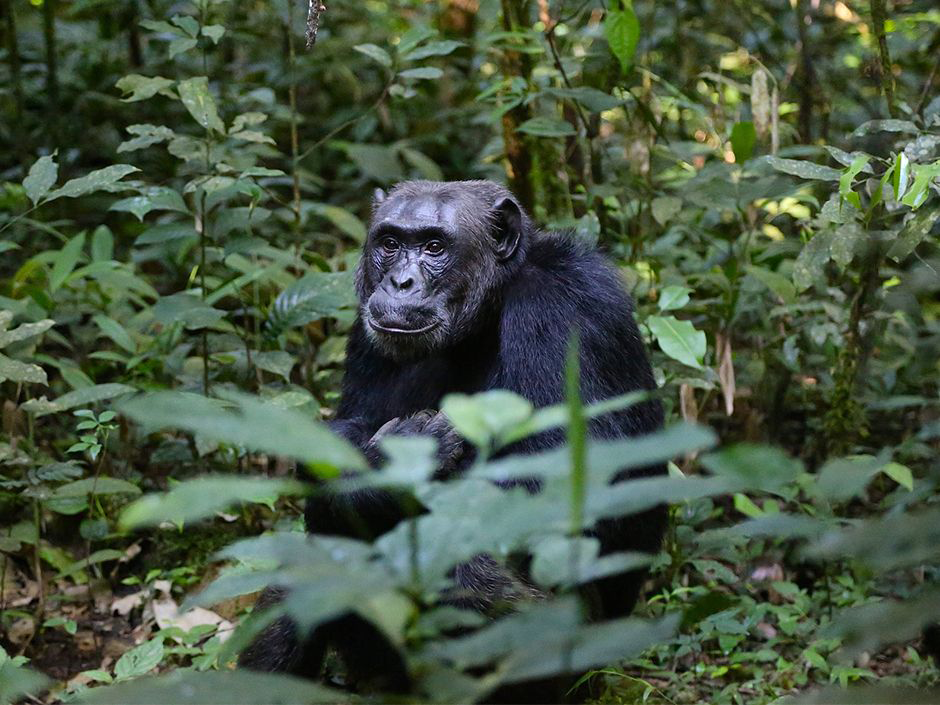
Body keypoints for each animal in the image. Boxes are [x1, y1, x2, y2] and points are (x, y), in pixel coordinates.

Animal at [242, 179, 668, 696]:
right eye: (390, 243)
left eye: (433, 247)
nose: (400, 282)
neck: (485, 314)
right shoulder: (365, 331)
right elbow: (346, 433)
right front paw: (378, 469)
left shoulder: (567, 308)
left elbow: (570, 479)